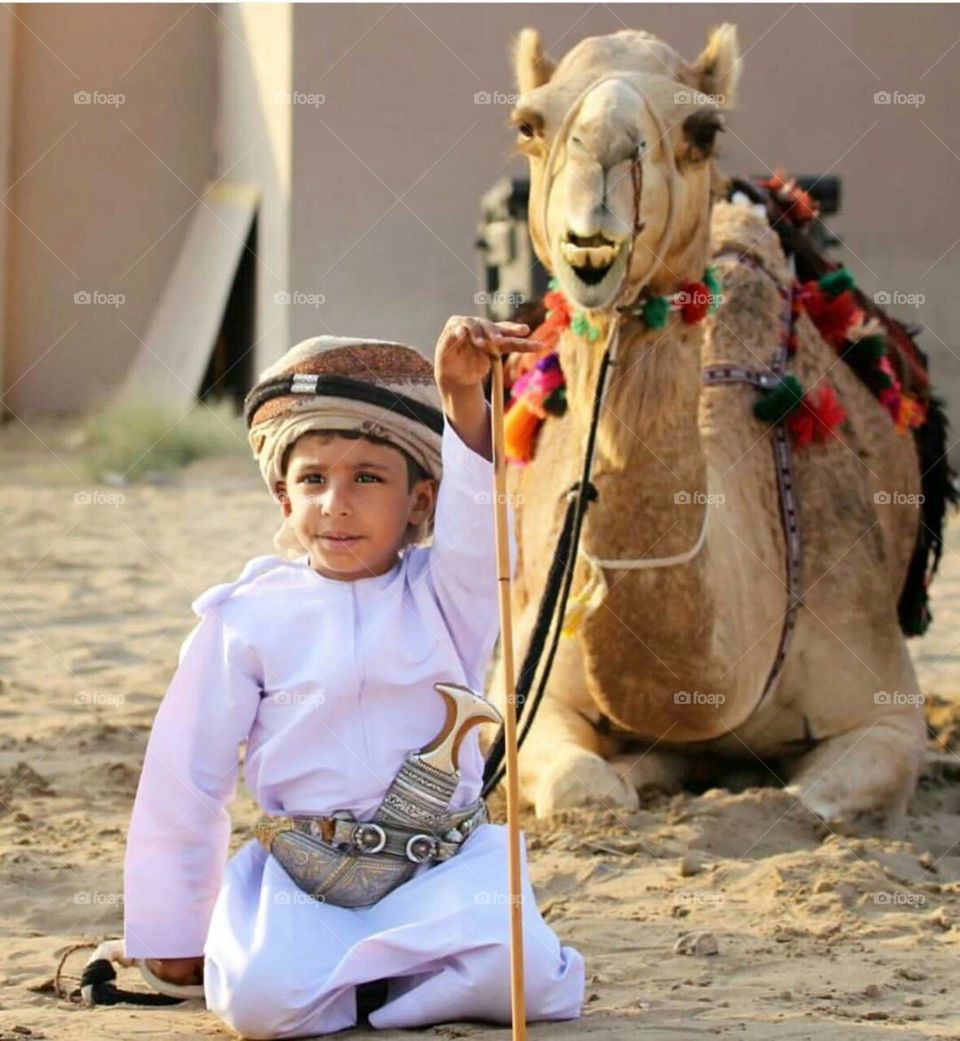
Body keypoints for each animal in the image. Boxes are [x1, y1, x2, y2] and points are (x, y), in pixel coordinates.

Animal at [484, 23, 950, 830]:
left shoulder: (884, 705)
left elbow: (811, 802)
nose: (605, 158)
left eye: (703, 129)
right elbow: (585, 789)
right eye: (529, 125)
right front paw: (644, 770)